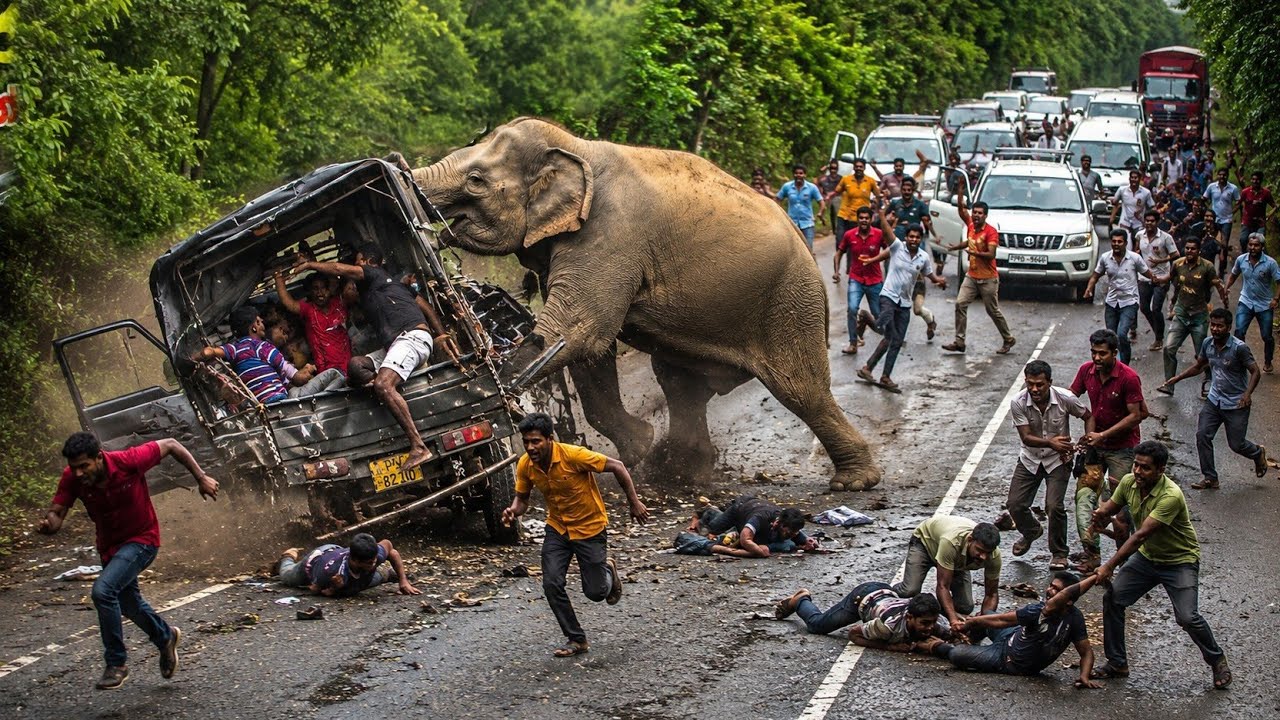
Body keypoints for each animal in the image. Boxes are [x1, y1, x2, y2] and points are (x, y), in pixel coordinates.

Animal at [406, 117, 881, 491]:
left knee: (801, 390)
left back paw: (854, 481)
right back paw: (678, 470)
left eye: (476, 181)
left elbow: (579, 329)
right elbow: (585, 349)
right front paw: (639, 446)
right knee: (680, 385)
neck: (577, 148)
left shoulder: (609, 234)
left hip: (789, 301)